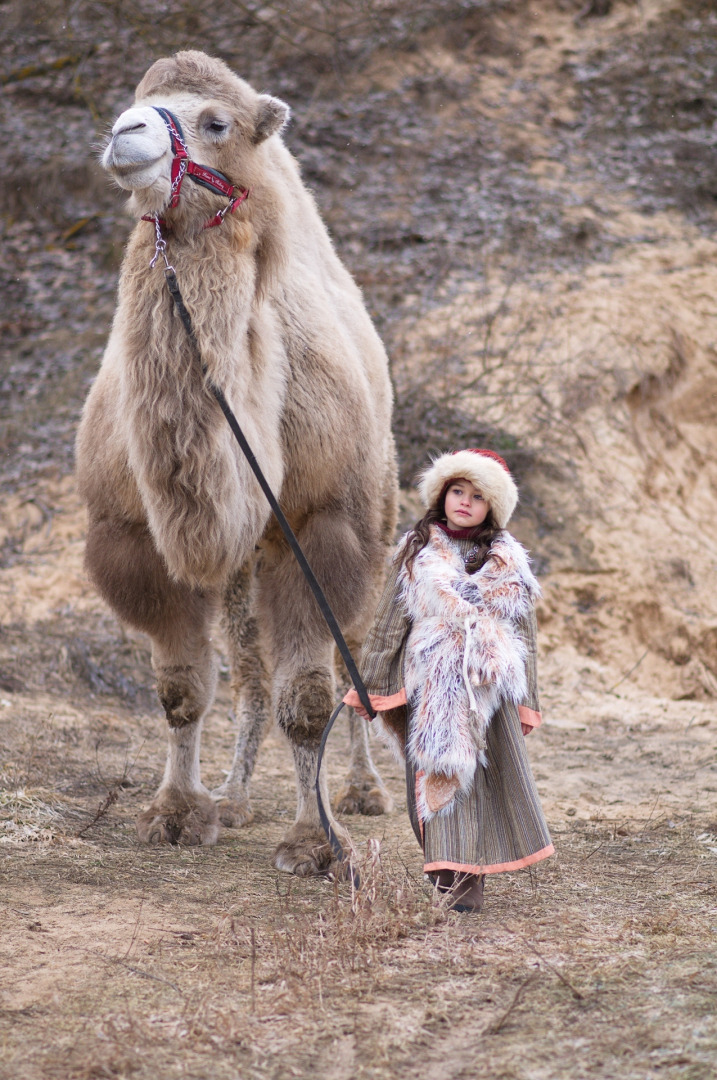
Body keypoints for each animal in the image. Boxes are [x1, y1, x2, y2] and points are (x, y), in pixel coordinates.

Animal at [77, 52, 397, 876]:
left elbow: (308, 699)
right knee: (251, 675)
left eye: (215, 122)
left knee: (349, 659)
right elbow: (182, 689)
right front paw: (177, 813)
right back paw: (235, 795)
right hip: (244, 561)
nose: (123, 134)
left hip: (374, 509)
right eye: (137, 100)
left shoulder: (322, 524)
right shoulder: (136, 534)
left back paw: (364, 791)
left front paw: (315, 843)